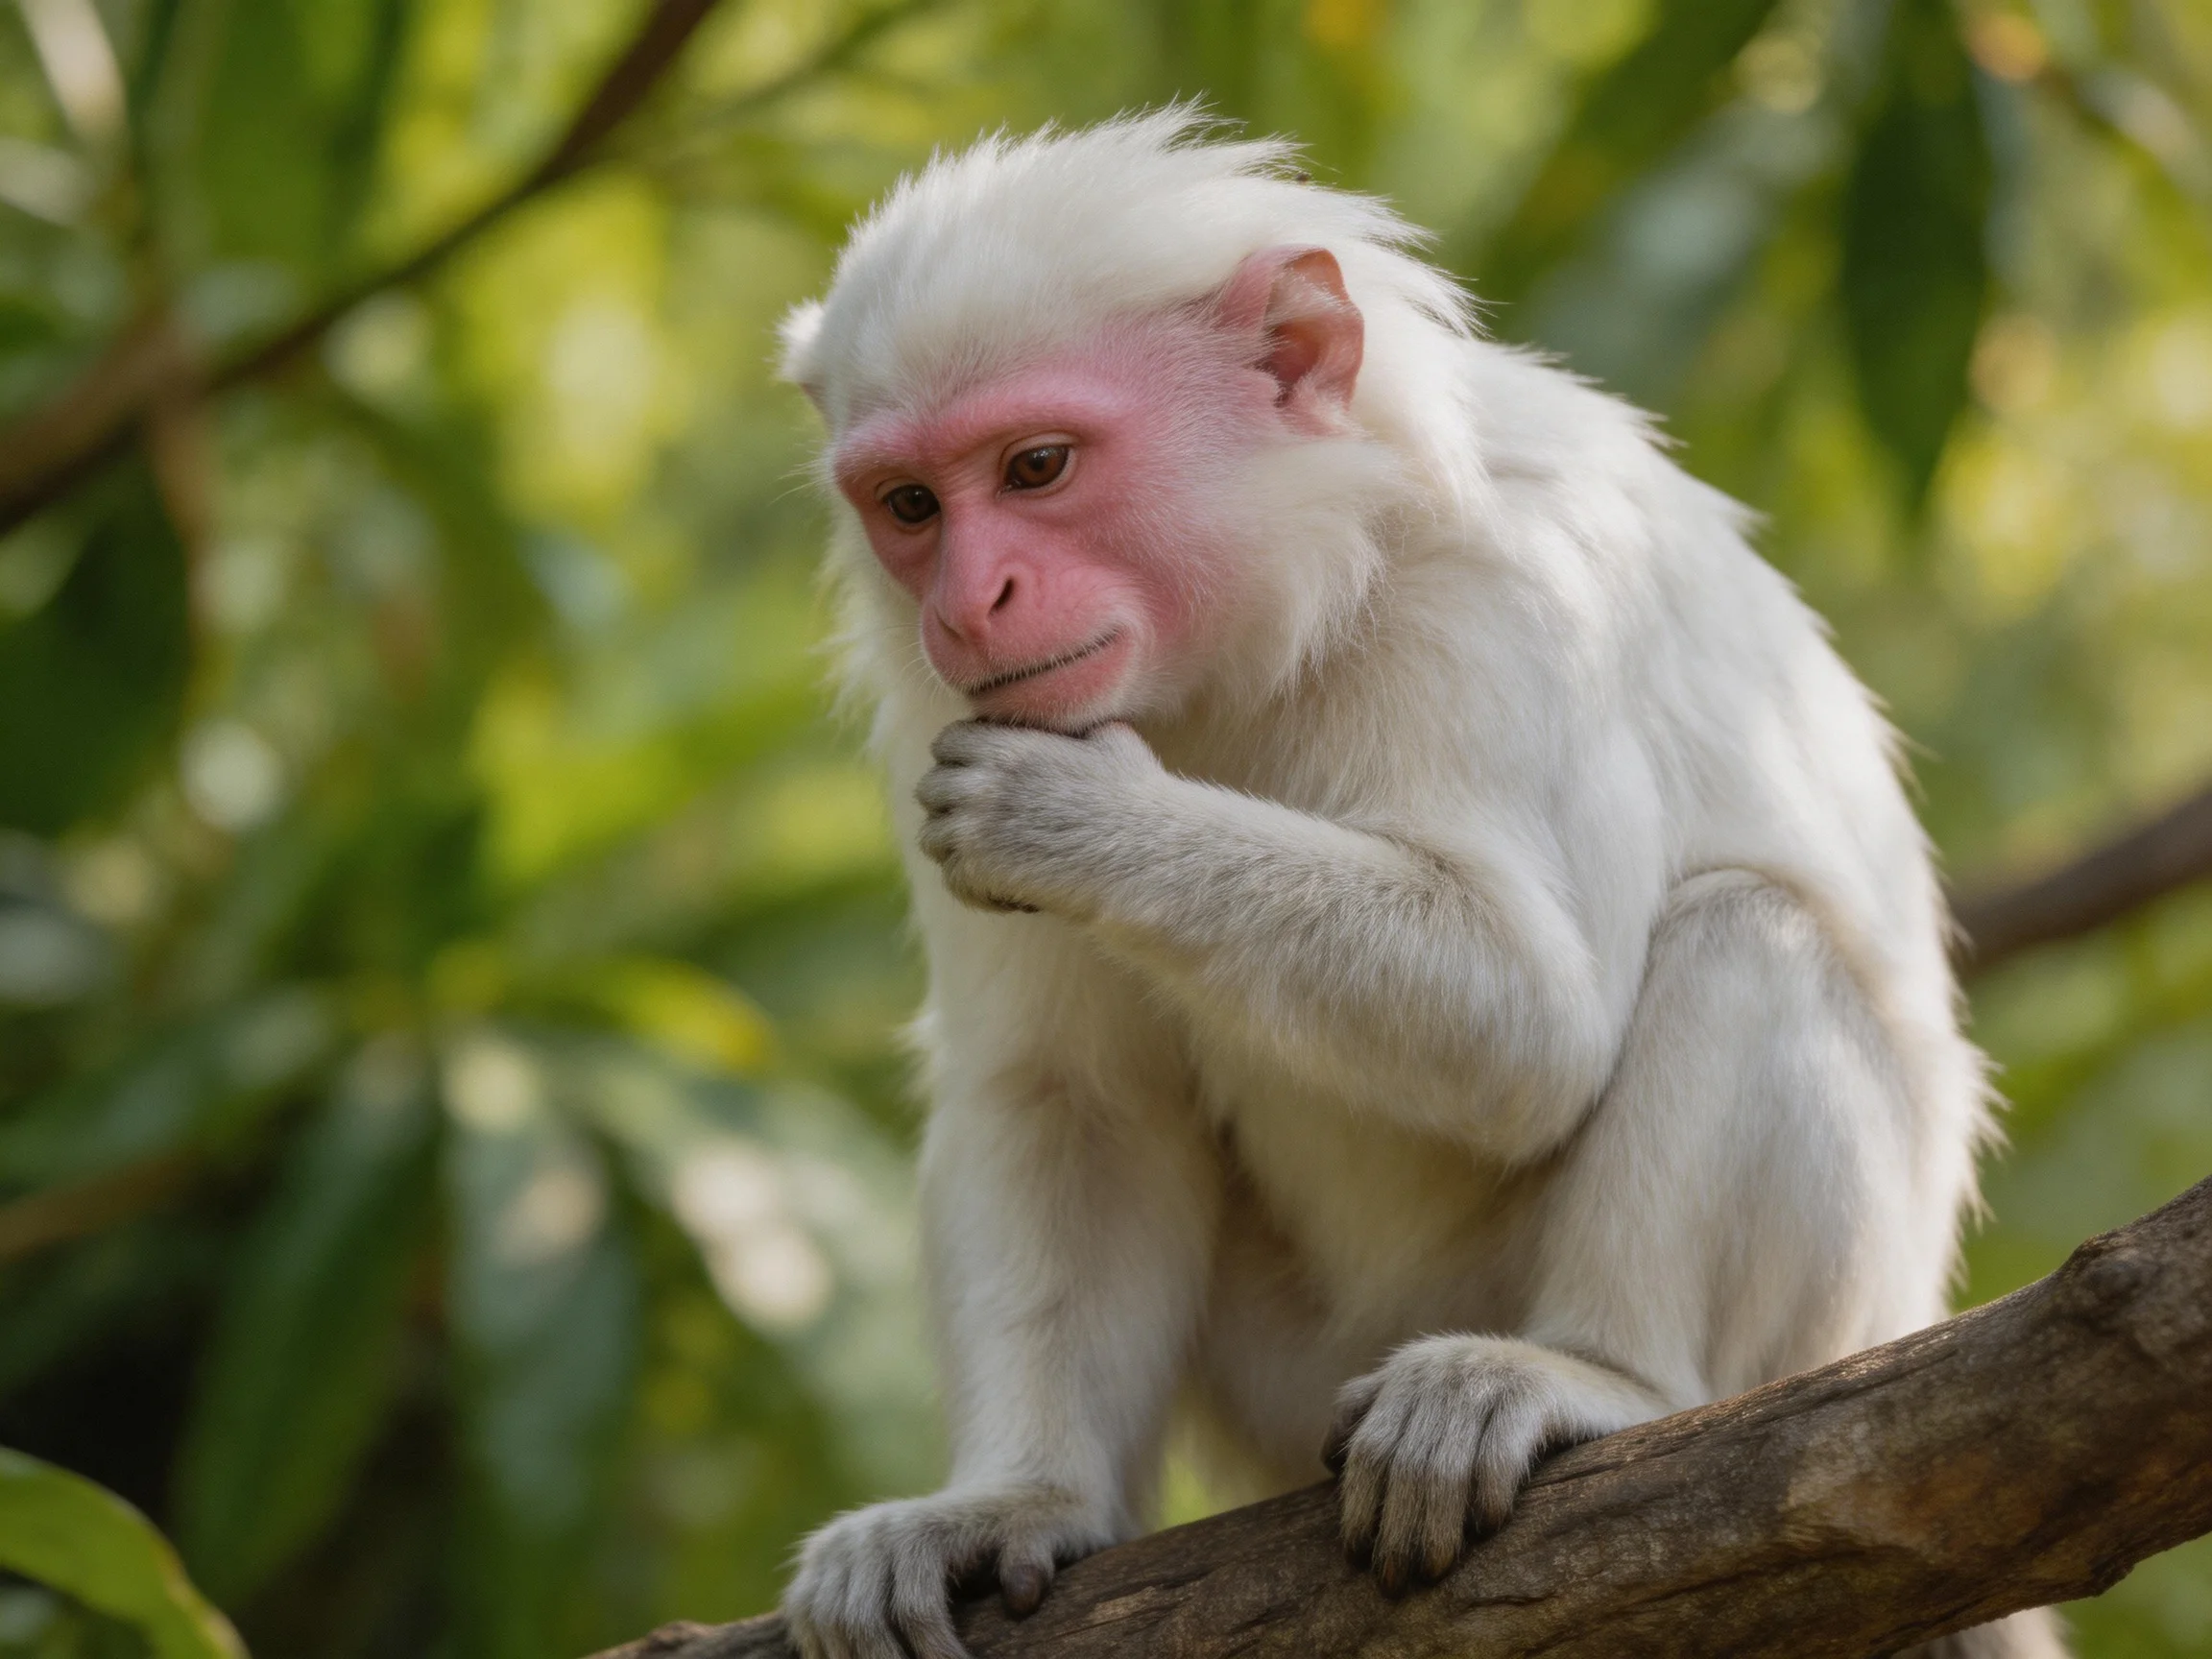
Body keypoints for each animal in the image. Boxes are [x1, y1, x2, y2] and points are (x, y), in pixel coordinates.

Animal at [773, 111, 2066, 1659]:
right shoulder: (949, 706)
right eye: (912, 506)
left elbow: (1533, 1029)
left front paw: (1083, 823)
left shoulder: (1506, 600)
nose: (972, 604)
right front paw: (1020, 1502)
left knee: (1752, 936)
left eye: (1036, 469)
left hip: (1813, 1322)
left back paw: (1601, 1378)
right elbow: (1071, 1094)